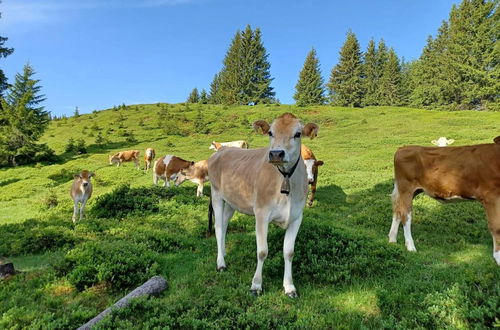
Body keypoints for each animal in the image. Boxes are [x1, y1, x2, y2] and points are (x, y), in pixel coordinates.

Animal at [208, 113, 320, 296]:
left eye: (297, 134)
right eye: (270, 133)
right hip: (216, 194)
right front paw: (256, 285)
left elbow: (289, 252)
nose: (276, 153)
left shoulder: (297, 217)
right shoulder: (261, 214)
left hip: (232, 201)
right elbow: (262, 252)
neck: (285, 179)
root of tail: (223, 149)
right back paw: (220, 263)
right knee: (218, 227)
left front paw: (289, 286)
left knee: (224, 226)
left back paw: (223, 252)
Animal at [390, 135, 500, 264]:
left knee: (397, 211)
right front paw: (498, 258)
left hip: (408, 191)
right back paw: (410, 247)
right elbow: (496, 226)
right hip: (406, 188)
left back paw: (392, 240)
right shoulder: (491, 196)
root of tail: (403, 148)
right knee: (405, 215)